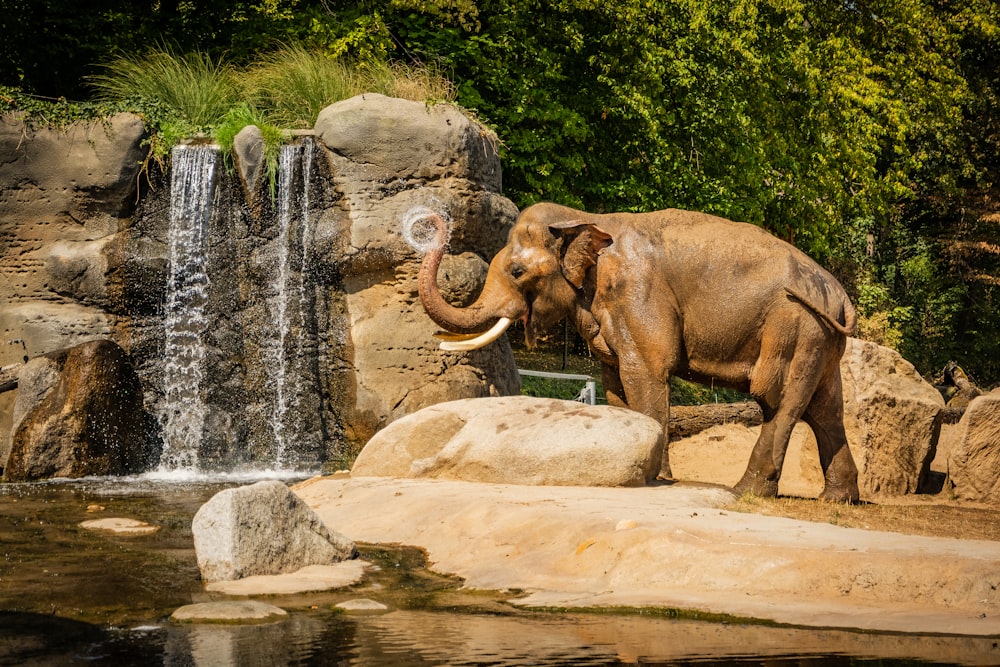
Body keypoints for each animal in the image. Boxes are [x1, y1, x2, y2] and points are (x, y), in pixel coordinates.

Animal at [414, 201, 860, 504]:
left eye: (517, 272)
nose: (429, 223)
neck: (585, 217)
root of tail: (841, 295)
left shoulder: (638, 295)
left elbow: (645, 371)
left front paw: (656, 479)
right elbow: (614, 381)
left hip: (795, 324)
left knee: (777, 399)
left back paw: (747, 490)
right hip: (820, 339)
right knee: (825, 408)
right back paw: (838, 498)